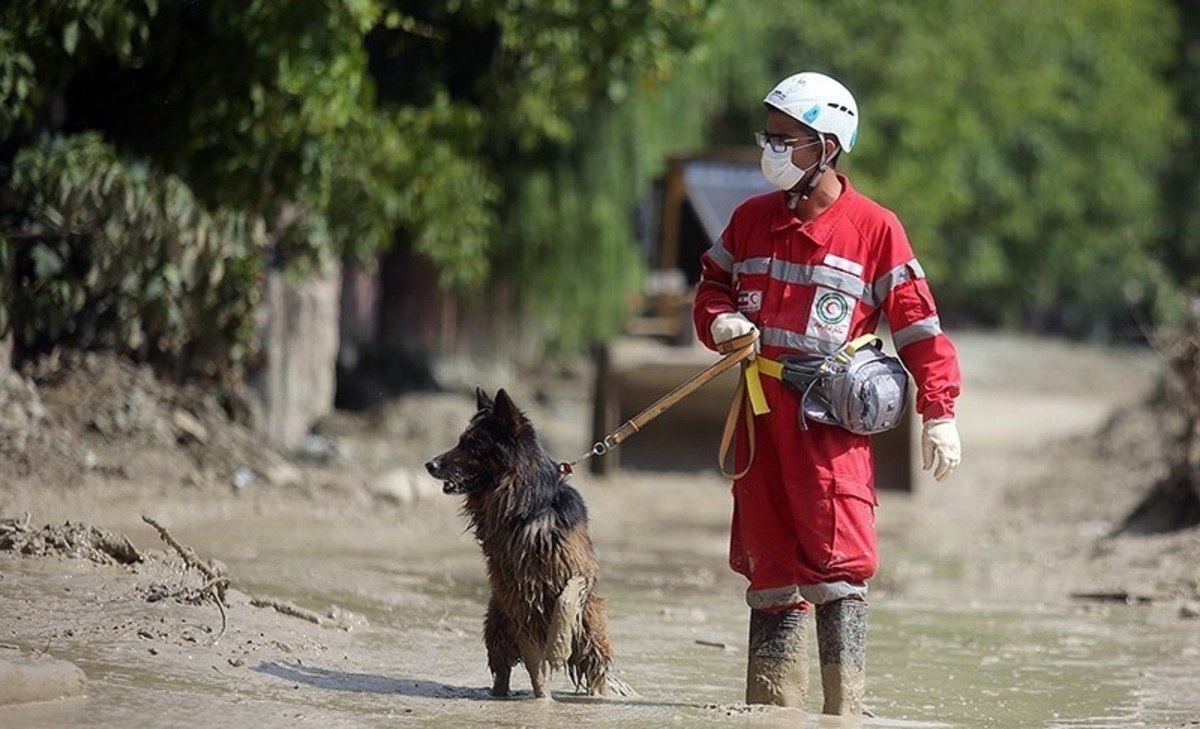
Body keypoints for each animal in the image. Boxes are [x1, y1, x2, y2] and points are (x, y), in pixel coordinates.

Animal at [427, 388, 619, 700]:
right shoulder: (518, 599)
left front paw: (558, 647)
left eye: (474, 445)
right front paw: (544, 690)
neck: (526, 509)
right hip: (498, 625)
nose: (429, 464)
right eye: (460, 441)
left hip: (590, 632)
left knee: (595, 668)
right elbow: (536, 668)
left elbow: (566, 599)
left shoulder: (581, 571)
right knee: (505, 670)